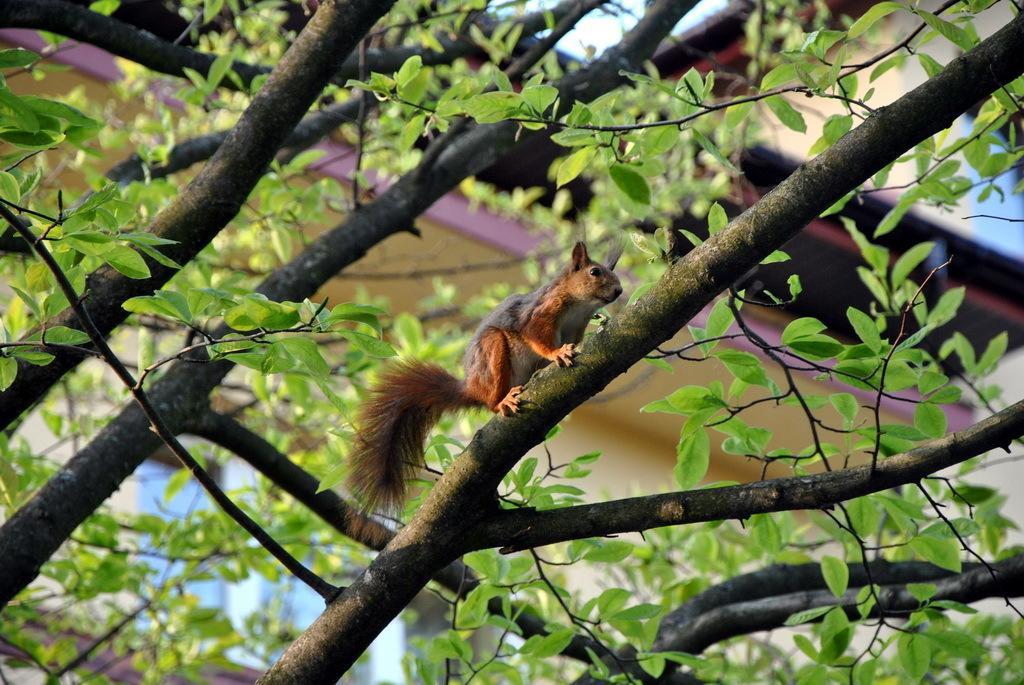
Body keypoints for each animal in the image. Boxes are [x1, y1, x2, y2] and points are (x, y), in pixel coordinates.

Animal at [348, 240, 622, 518]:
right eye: (595, 272)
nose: (619, 291)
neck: (579, 306)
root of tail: (471, 387)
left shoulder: (577, 329)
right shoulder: (541, 312)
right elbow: (536, 336)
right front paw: (557, 352)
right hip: (494, 351)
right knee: (491, 401)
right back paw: (503, 401)